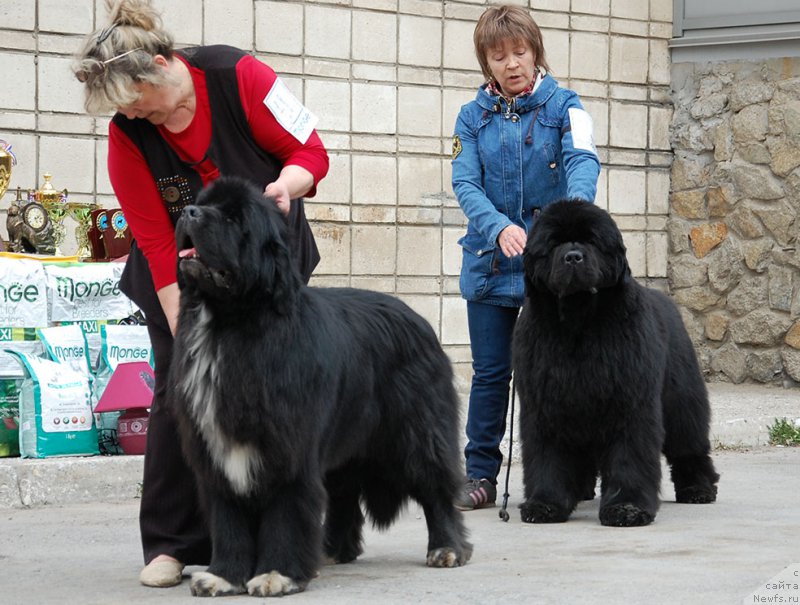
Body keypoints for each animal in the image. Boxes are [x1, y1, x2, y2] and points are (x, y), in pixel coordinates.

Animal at [169, 177, 468, 596]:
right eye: (202, 203)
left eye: (233, 218)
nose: (188, 212)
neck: (230, 326)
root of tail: (419, 319)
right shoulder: (215, 452)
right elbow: (229, 519)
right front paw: (223, 576)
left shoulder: (288, 449)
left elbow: (285, 512)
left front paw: (277, 574)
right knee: (343, 495)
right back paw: (331, 550)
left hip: (416, 432)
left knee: (435, 486)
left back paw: (447, 549)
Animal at [512, 201, 720, 528]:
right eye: (555, 243)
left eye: (592, 241)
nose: (573, 256)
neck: (578, 321)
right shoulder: (545, 406)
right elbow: (548, 457)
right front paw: (545, 504)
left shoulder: (629, 403)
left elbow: (628, 457)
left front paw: (627, 508)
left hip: (681, 402)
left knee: (689, 445)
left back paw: (697, 488)